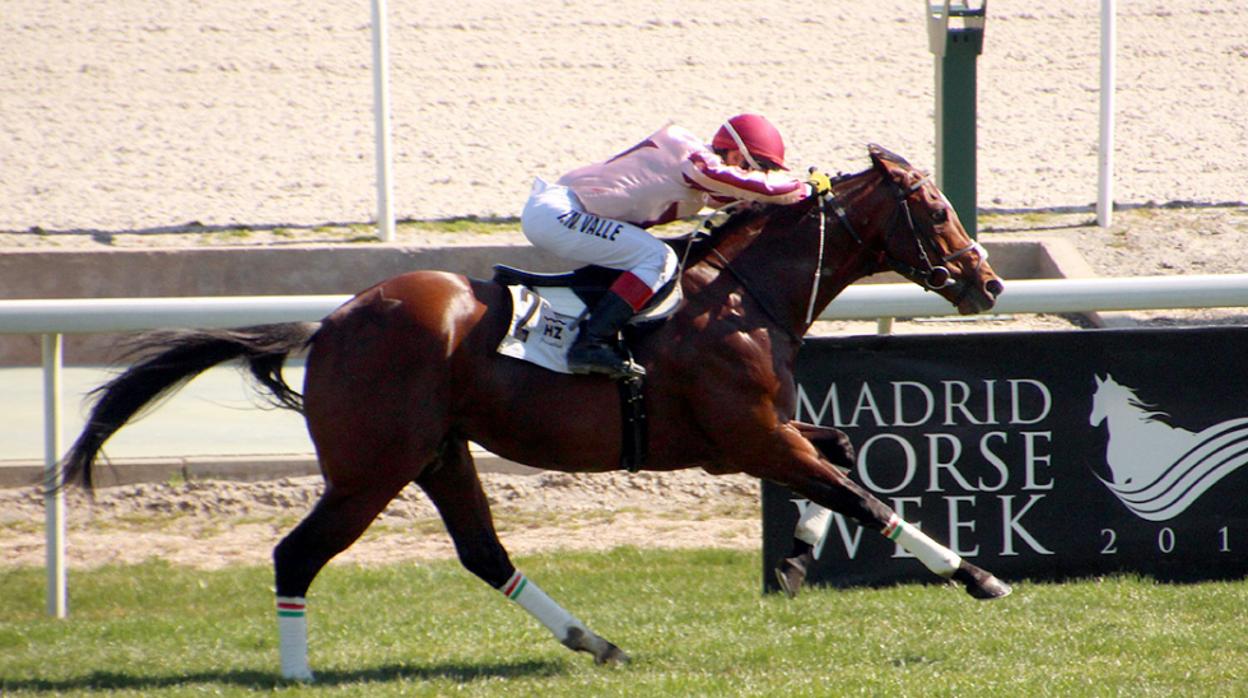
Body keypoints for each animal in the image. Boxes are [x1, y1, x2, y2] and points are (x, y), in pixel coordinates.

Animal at [60, 144, 1013, 679]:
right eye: (936, 207)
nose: (989, 282)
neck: (740, 295)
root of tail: (328, 323)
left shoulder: (762, 434)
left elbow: (845, 455)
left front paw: (794, 562)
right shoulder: (749, 437)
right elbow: (864, 495)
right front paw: (977, 575)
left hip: (439, 453)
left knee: (484, 554)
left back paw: (596, 643)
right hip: (369, 469)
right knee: (295, 555)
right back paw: (296, 674)